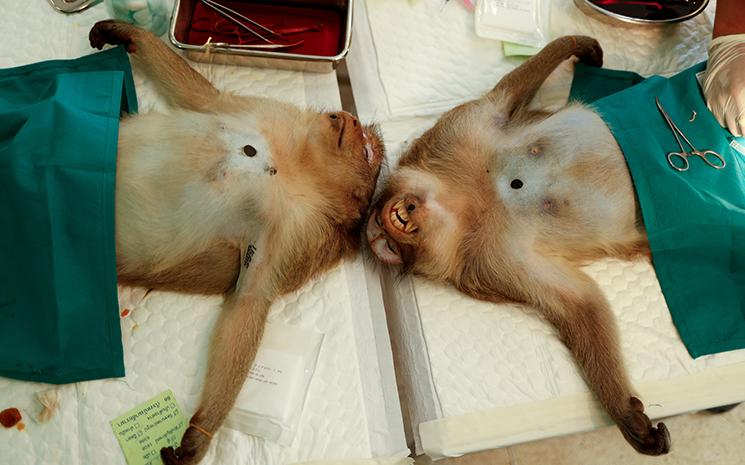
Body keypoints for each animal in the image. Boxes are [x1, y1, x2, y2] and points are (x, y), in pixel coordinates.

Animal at [87, 20, 384, 465]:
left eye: (366, 149)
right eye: (359, 137)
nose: (346, 117)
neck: (293, 166)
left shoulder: (297, 230)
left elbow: (249, 300)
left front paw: (200, 433)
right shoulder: (266, 113)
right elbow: (206, 98)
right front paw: (127, 33)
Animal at [365, 36, 671, 455]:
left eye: (388, 224)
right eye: (386, 234)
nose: (401, 212)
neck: (472, 202)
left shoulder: (457, 135)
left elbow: (506, 96)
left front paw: (581, 45)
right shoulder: (491, 261)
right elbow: (581, 303)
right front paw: (626, 414)